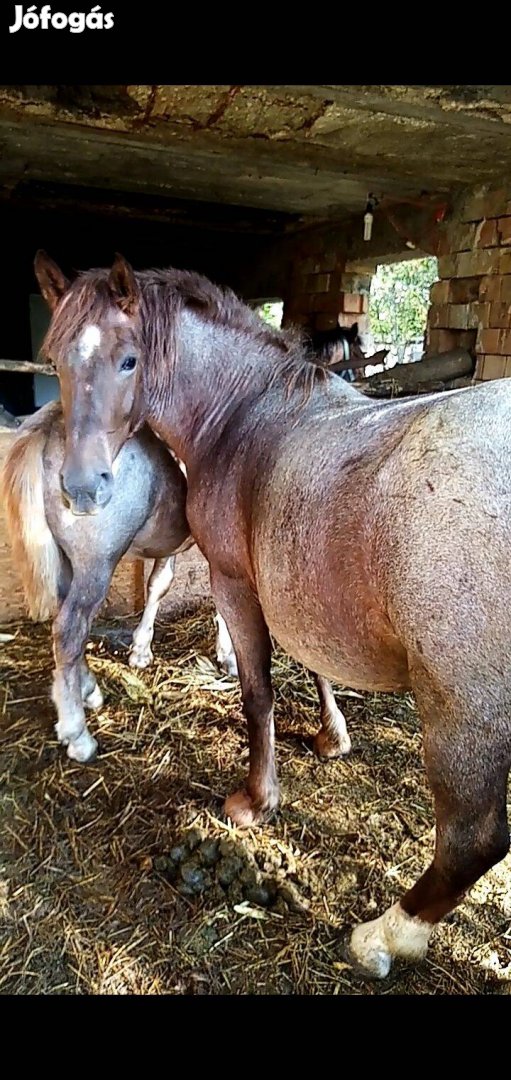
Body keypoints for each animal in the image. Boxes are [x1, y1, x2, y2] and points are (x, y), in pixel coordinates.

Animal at [1, 401, 350, 764]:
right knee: (70, 629)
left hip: (68, 560)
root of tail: (52, 421)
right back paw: (77, 734)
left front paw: (142, 650)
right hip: (95, 562)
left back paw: (88, 690)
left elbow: (160, 585)